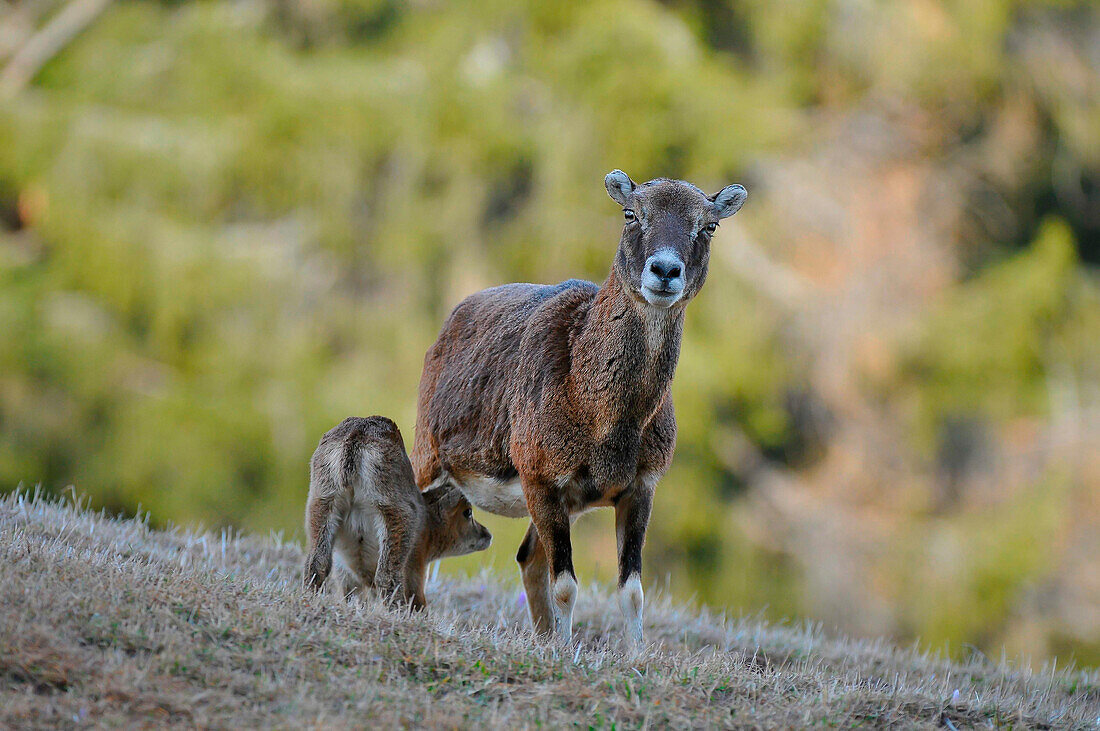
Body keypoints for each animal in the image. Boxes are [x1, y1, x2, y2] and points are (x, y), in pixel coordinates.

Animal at [301, 413, 490, 606]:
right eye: (468, 512)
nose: (487, 534)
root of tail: (356, 435)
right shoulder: (416, 572)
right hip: (394, 515)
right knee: (387, 575)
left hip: (323, 502)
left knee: (316, 563)